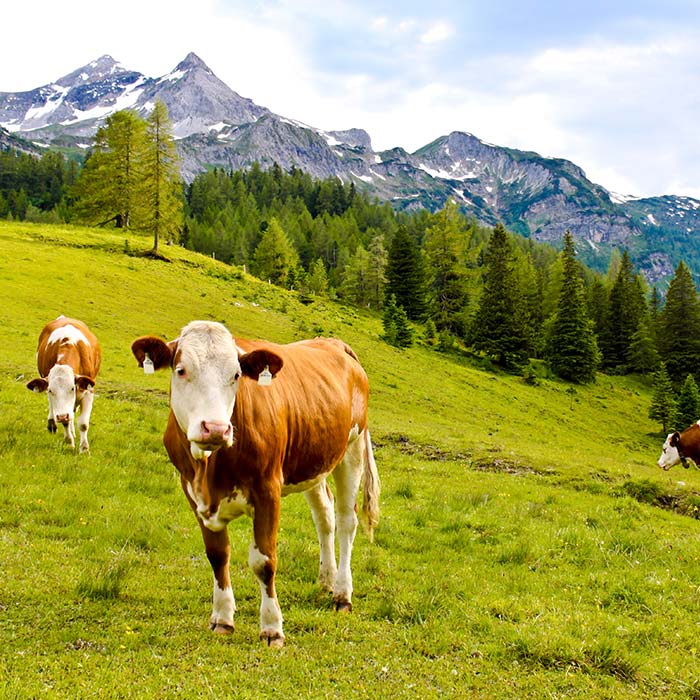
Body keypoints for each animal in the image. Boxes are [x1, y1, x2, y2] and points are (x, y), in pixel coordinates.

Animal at [27, 318, 102, 454]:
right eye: (51, 390)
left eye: (72, 388)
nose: (62, 416)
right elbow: (66, 421)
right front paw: (69, 442)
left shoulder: (88, 391)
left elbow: (83, 423)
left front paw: (84, 449)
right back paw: (53, 424)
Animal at [133, 320, 380, 648]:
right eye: (181, 370)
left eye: (236, 375)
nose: (215, 428)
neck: (209, 471)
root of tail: (333, 343)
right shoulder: (193, 494)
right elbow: (217, 555)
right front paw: (222, 618)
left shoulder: (268, 491)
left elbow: (264, 562)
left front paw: (272, 628)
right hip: (314, 460)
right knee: (324, 516)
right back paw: (326, 580)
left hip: (353, 447)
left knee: (345, 521)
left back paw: (342, 593)